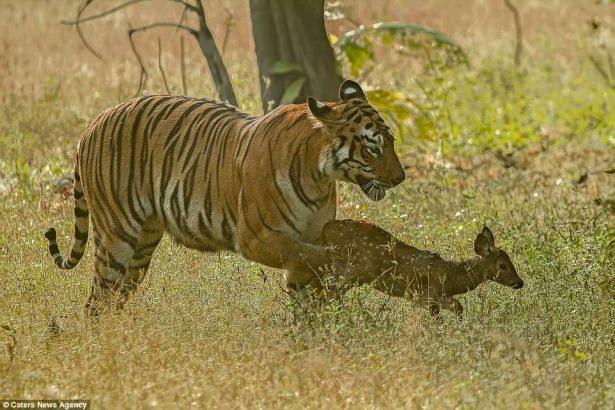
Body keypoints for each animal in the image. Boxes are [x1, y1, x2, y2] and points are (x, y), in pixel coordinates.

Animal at [44, 81, 410, 318]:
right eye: (372, 146)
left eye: (391, 140)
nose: (400, 178)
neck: (319, 175)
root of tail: (92, 124)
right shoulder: (256, 238)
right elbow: (310, 255)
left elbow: (307, 295)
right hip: (117, 235)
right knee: (97, 301)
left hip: (142, 246)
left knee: (115, 299)